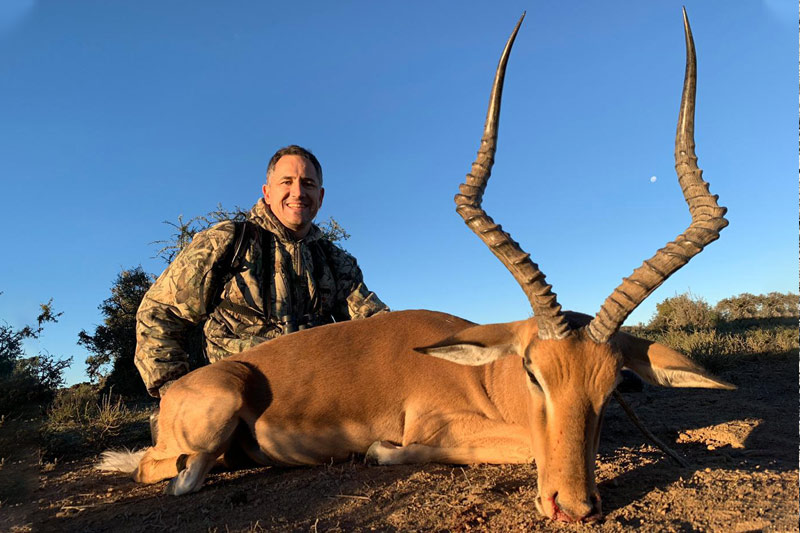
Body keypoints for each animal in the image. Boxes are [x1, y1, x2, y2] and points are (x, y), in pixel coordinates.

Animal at [98, 9, 732, 524]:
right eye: (533, 373)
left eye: (613, 384)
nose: (573, 507)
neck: (480, 373)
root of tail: (177, 392)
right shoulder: (440, 425)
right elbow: (518, 444)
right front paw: (381, 451)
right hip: (215, 413)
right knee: (168, 471)